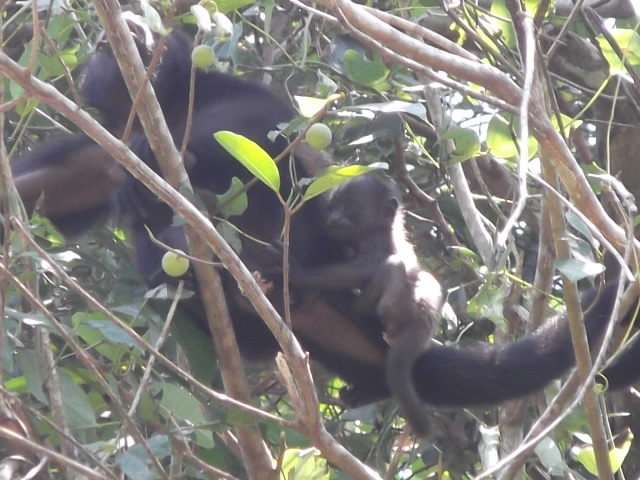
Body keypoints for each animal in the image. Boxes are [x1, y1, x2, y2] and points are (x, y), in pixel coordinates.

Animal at [8, 22, 640, 412]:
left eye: (157, 34)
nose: (131, 32)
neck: (160, 106)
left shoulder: (230, 103)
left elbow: (248, 143)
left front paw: (167, 168)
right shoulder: (101, 144)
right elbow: (41, 191)